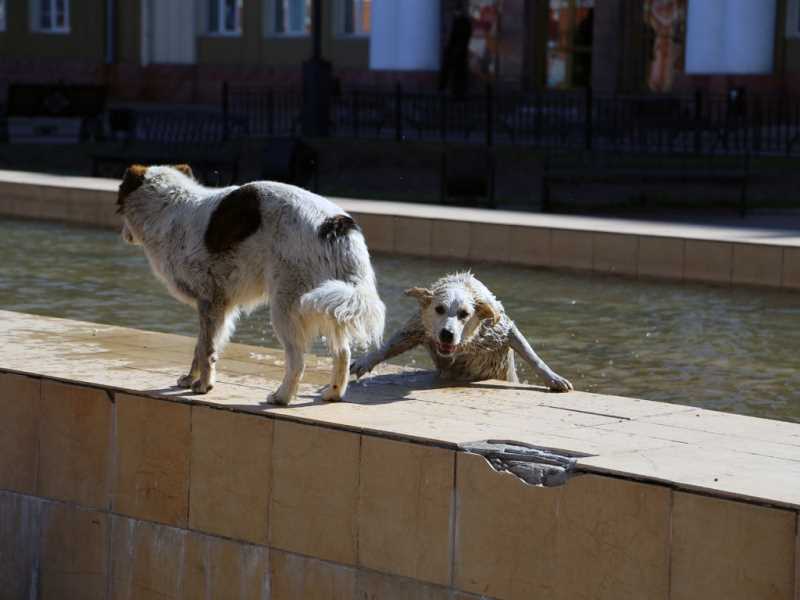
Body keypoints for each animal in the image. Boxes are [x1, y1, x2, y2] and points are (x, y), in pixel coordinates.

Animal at [115, 166, 384, 406]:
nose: (123, 235)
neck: (169, 208)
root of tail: (334, 223)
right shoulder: (219, 305)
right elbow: (200, 347)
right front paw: (191, 379)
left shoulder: (209, 301)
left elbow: (206, 349)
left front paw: (203, 386)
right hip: (330, 302)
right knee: (343, 353)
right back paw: (332, 394)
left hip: (287, 305)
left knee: (297, 360)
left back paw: (281, 398)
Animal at [348, 274, 568, 394]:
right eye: (439, 309)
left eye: (464, 314)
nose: (447, 334)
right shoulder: (419, 327)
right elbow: (392, 343)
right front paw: (364, 361)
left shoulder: (500, 329)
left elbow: (531, 354)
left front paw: (553, 378)